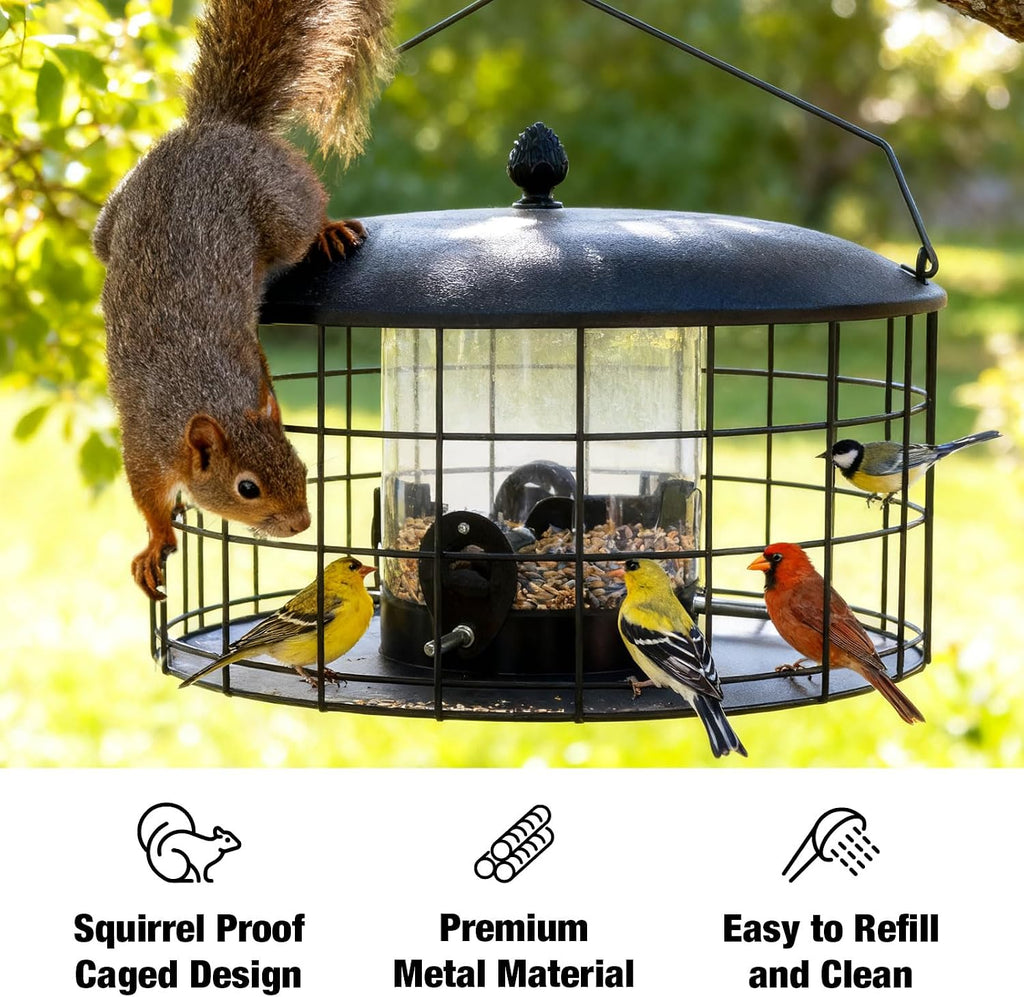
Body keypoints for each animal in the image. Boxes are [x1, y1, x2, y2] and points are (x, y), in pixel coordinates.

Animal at [93, 0, 395, 600]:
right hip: (111, 224)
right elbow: (148, 500)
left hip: (277, 207)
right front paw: (155, 542)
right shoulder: (144, 447)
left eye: (301, 465)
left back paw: (329, 231)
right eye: (247, 488)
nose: (302, 523)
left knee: (309, 211)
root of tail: (215, 126)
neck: (210, 398)